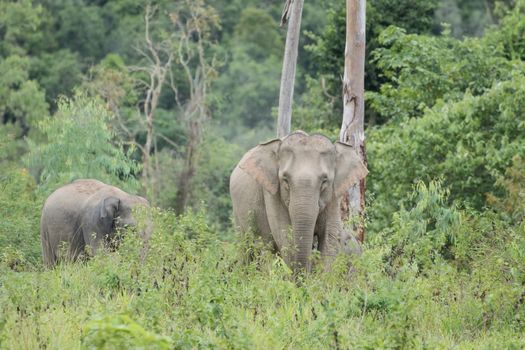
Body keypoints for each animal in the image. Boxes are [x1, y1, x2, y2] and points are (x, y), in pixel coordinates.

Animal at [229, 131, 368, 270]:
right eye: (285, 179)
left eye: (324, 180)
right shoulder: (271, 192)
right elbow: (284, 233)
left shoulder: (334, 194)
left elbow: (330, 235)